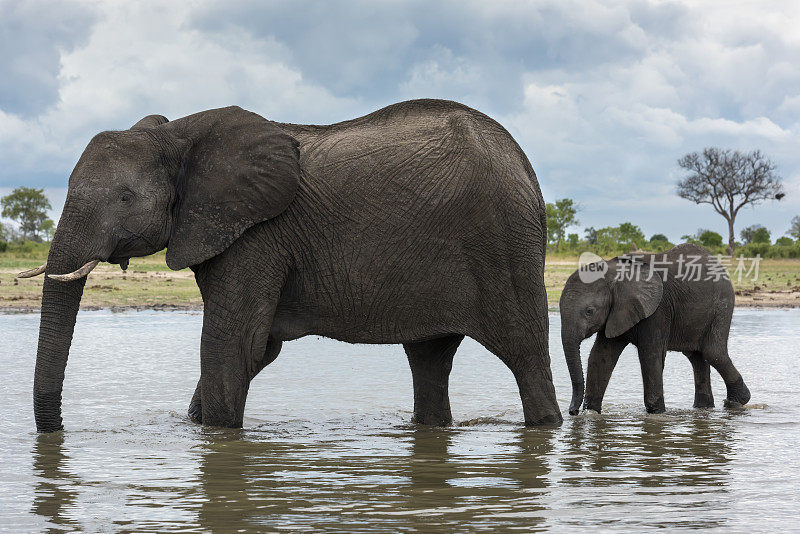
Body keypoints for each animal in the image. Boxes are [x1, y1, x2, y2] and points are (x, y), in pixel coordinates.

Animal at [25, 99, 564, 436]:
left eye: (124, 197)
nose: (57, 432)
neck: (175, 135)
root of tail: (526, 166)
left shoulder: (258, 235)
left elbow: (232, 346)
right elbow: (258, 348)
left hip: (505, 246)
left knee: (524, 353)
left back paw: (548, 426)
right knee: (429, 358)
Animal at [556, 245, 752, 416]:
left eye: (589, 311)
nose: (572, 411)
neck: (615, 273)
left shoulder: (658, 309)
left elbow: (650, 356)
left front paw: (656, 413)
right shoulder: (617, 312)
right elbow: (601, 356)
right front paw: (591, 414)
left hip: (722, 305)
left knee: (712, 352)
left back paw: (736, 402)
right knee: (696, 356)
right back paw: (703, 408)